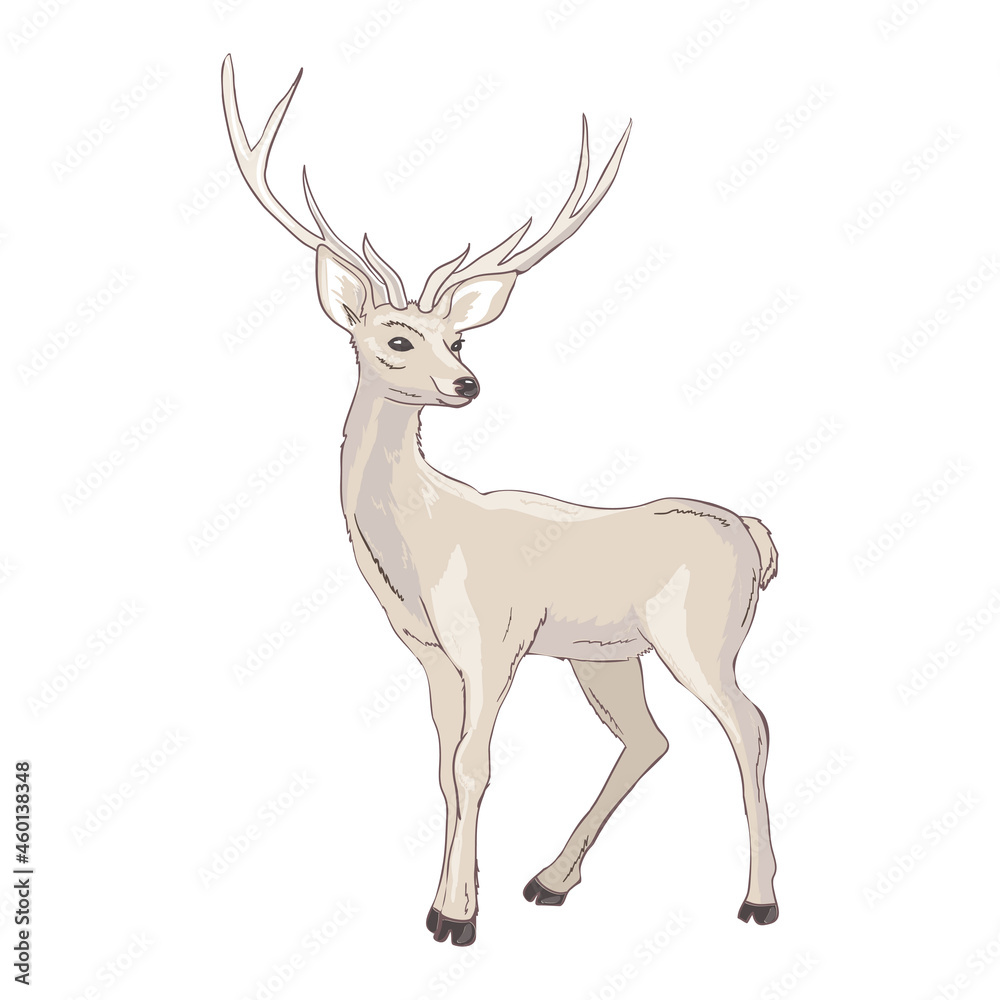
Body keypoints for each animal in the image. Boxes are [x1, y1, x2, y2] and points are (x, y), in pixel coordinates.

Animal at [221, 54, 780, 947]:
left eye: (458, 338)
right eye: (398, 337)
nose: (467, 383)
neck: (421, 546)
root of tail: (756, 535)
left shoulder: (494, 636)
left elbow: (475, 763)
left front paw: (456, 916)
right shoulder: (430, 653)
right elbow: (444, 770)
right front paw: (443, 904)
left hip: (701, 634)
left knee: (750, 725)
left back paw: (758, 900)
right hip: (608, 654)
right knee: (650, 739)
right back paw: (549, 881)